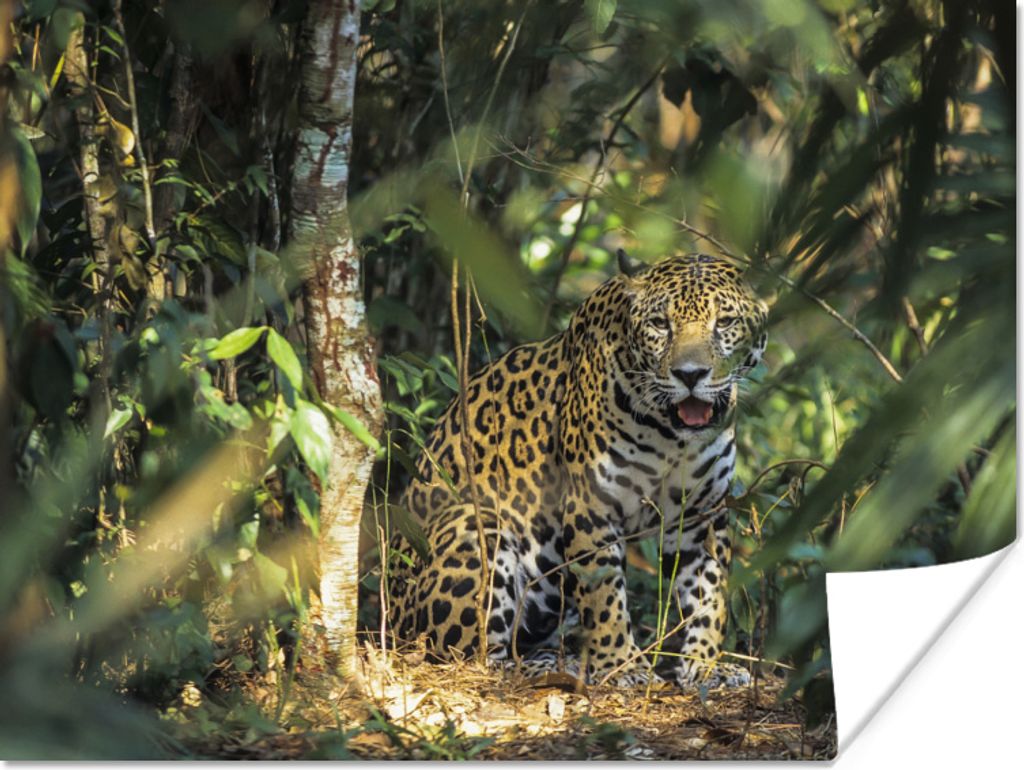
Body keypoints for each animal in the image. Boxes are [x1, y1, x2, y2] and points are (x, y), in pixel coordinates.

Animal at [386, 252, 768, 689]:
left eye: (725, 322)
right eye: (660, 324)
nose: (690, 375)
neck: (672, 436)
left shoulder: (703, 516)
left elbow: (710, 595)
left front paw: (705, 665)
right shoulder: (591, 507)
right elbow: (605, 597)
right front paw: (623, 666)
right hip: (475, 523)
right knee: (474, 658)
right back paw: (555, 667)